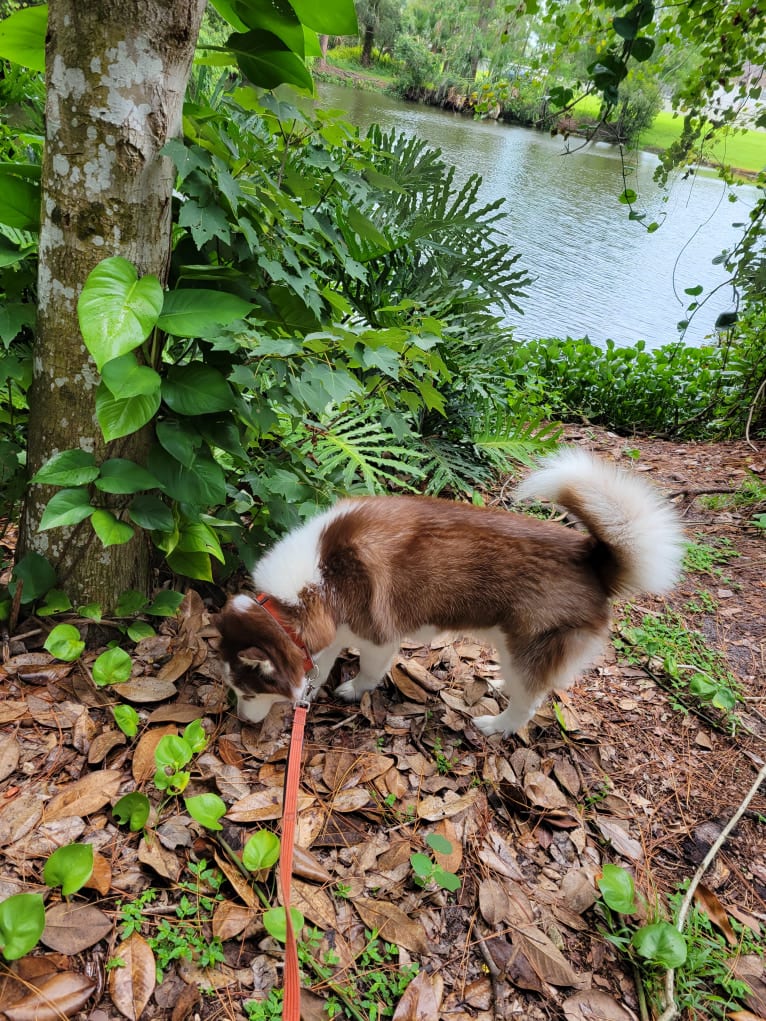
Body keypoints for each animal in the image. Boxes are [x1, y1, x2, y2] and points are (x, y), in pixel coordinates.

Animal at [216, 447, 682, 735]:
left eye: (248, 693)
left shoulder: (378, 637)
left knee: (529, 702)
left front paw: (355, 690)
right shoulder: (329, 629)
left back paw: (498, 727)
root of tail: (592, 558)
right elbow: (321, 662)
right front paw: (312, 689)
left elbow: (368, 670)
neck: (321, 574)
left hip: (528, 647)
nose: (241, 722)